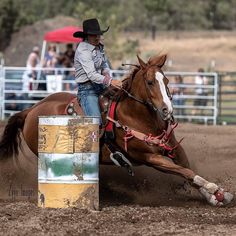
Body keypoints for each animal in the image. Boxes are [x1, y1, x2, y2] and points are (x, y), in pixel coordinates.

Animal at [0, 54, 233, 206]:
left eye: (166, 80)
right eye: (150, 82)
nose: (168, 110)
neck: (137, 117)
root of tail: (30, 110)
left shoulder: (174, 148)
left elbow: (188, 170)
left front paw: (216, 196)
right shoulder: (151, 158)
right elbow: (187, 172)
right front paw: (214, 190)